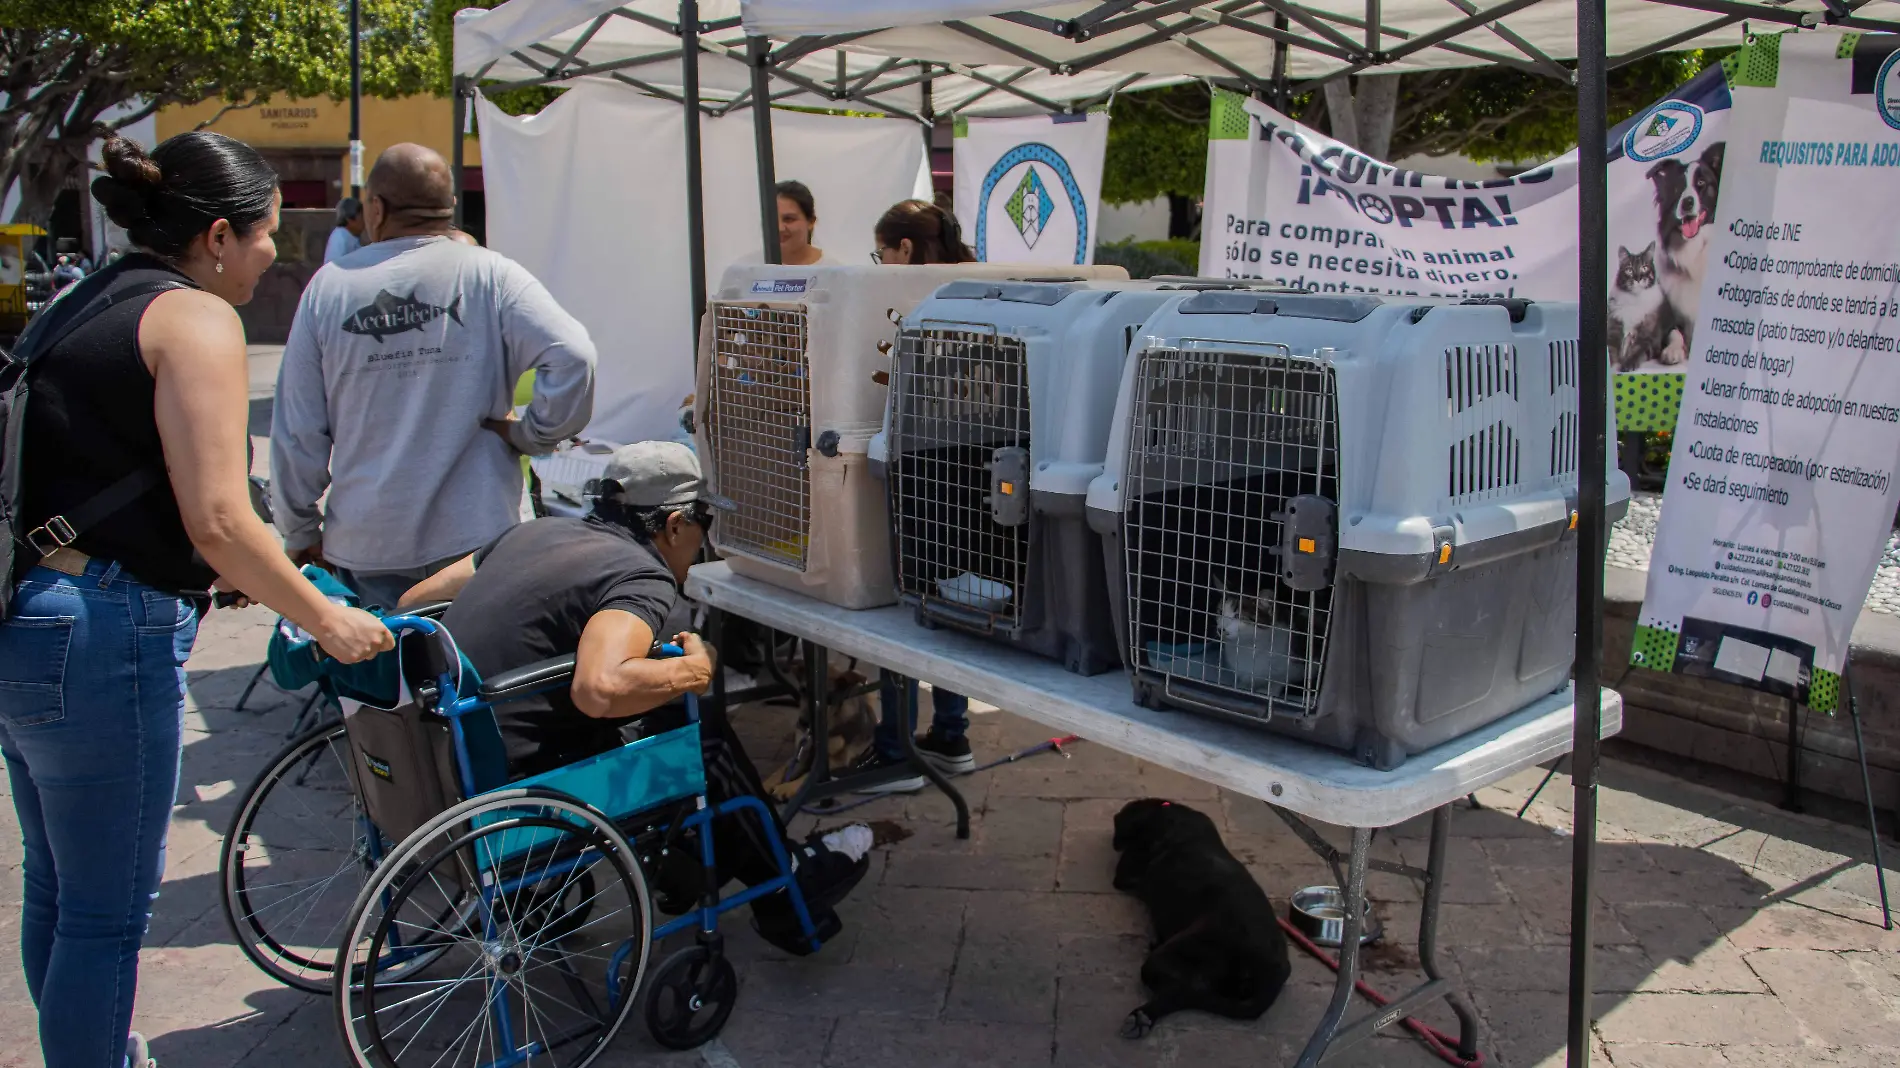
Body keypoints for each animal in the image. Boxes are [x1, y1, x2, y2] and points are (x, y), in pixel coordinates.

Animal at [1109, 794, 1292, 1033]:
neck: (1165, 812)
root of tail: (1272, 967)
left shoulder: (1125, 873)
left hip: (1179, 950)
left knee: (1185, 990)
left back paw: (1143, 1014)